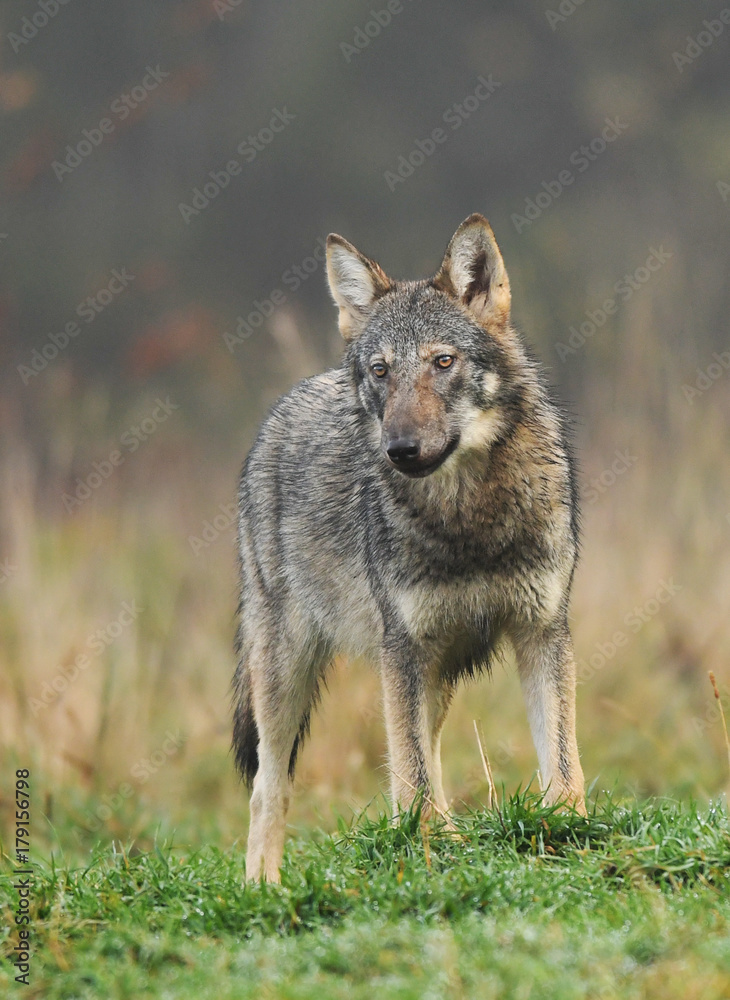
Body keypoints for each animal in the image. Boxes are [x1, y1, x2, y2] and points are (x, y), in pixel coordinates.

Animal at [233, 214, 586, 882]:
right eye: (380, 371)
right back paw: (262, 889)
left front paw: (571, 833)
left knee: (430, 747)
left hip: (436, 669)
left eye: (442, 361)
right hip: (291, 666)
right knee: (270, 785)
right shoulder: (402, 646)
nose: (399, 449)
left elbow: (562, 761)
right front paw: (428, 849)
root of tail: (280, 410)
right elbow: (411, 770)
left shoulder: (541, 631)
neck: (468, 520)